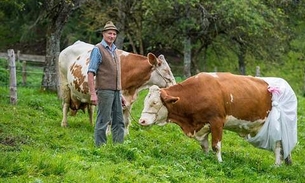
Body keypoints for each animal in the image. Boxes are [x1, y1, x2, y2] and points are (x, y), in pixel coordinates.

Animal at [139, 72, 296, 165]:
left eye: (155, 102)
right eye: (145, 101)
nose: (142, 121)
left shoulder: (217, 121)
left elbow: (216, 145)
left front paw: (219, 162)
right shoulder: (201, 126)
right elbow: (205, 145)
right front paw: (206, 158)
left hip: (278, 127)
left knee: (278, 145)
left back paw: (276, 165)